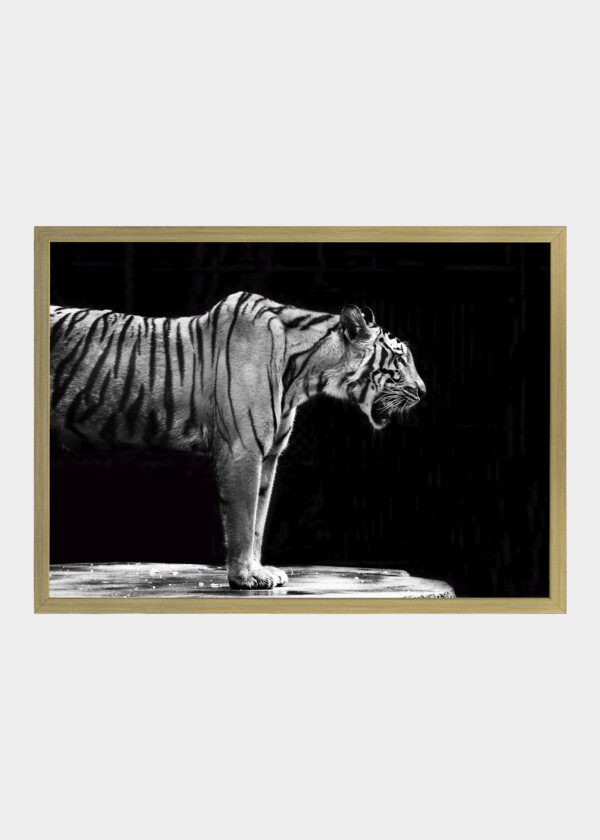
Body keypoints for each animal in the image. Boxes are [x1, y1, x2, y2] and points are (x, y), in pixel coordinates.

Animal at [50, 292, 426, 589]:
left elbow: (259, 519)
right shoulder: (242, 450)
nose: (423, 391)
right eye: (399, 359)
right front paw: (246, 576)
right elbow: (243, 519)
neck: (305, 374)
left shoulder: (269, 456)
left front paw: (258, 570)